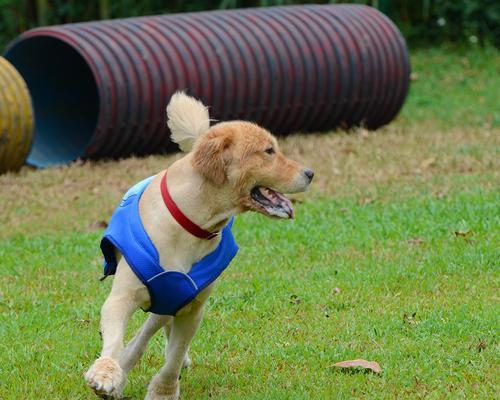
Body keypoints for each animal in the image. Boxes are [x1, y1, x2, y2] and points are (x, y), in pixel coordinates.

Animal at [84, 91, 314, 400]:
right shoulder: (123, 296)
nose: (310, 173)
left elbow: (174, 356)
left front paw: (164, 391)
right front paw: (106, 374)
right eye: (268, 151)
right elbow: (114, 338)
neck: (191, 224)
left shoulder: (191, 306)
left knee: (153, 332)